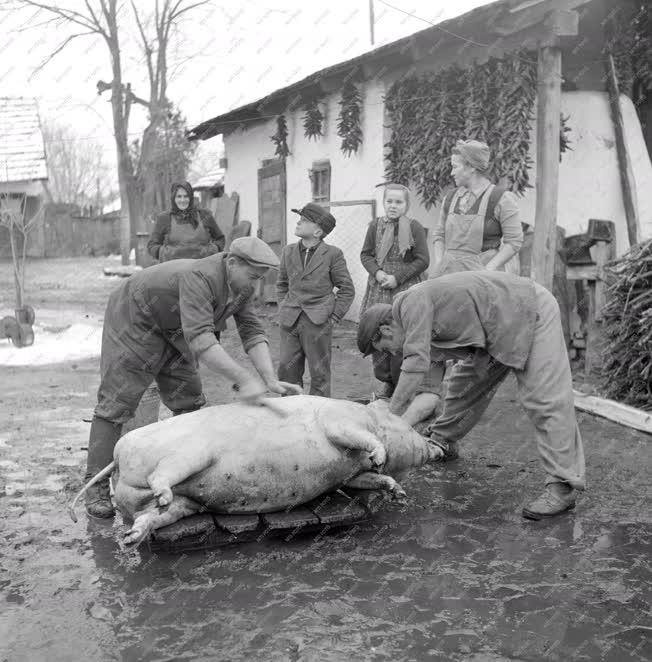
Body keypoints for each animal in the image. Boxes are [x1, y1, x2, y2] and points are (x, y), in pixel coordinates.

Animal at [70, 396, 444, 548]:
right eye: (407, 424)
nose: (437, 447)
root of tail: (118, 459)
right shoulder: (338, 421)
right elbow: (360, 438)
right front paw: (380, 455)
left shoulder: (348, 477)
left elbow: (368, 479)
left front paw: (398, 492)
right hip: (189, 454)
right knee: (161, 476)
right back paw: (156, 499)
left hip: (185, 503)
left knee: (152, 514)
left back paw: (132, 537)